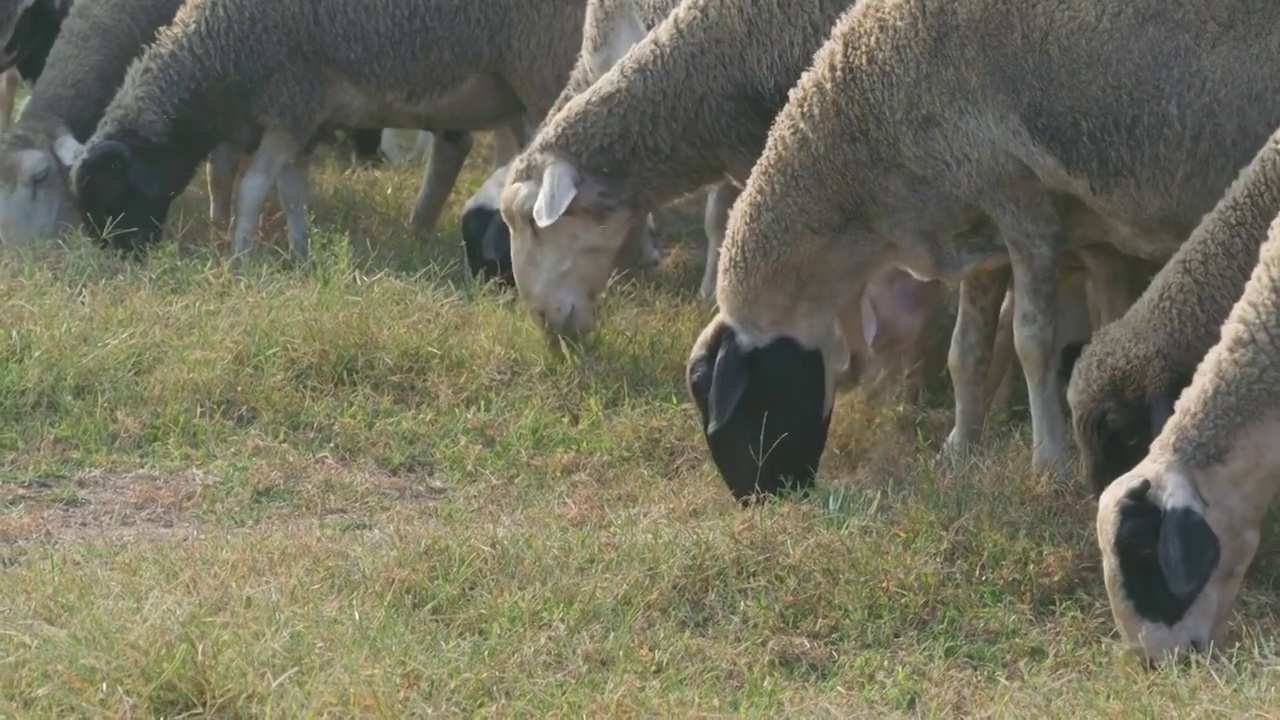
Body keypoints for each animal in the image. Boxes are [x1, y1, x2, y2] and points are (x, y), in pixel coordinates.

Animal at [66, 0, 619, 263]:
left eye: (110, 192)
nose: (119, 256)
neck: (217, 54)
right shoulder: (303, 116)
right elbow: (290, 190)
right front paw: (299, 250)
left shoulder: (290, 98)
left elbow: (252, 186)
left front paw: (240, 254)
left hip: (541, 66)